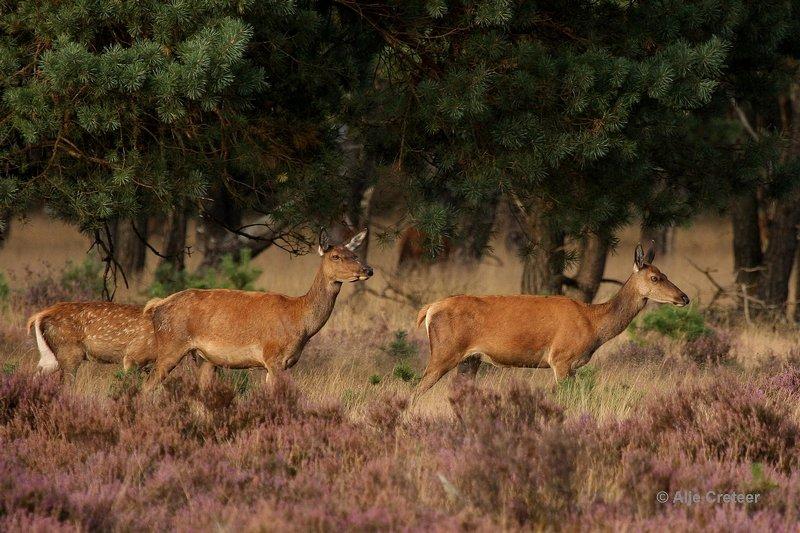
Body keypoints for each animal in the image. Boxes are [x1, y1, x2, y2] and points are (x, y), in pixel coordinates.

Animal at [141, 228, 372, 386]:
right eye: (335, 256)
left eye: (355, 254)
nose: (368, 269)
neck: (300, 320)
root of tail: (155, 306)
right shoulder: (273, 357)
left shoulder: (283, 363)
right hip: (171, 345)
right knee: (146, 386)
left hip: (203, 358)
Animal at [410, 243, 692, 402]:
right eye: (655, 278)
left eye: (665, 273)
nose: (684, 297)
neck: (594, 325)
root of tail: (429, 309)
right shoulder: (561, 358)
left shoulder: (572, 366)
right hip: (444, 352)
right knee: (414, 390)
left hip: (470, 359)